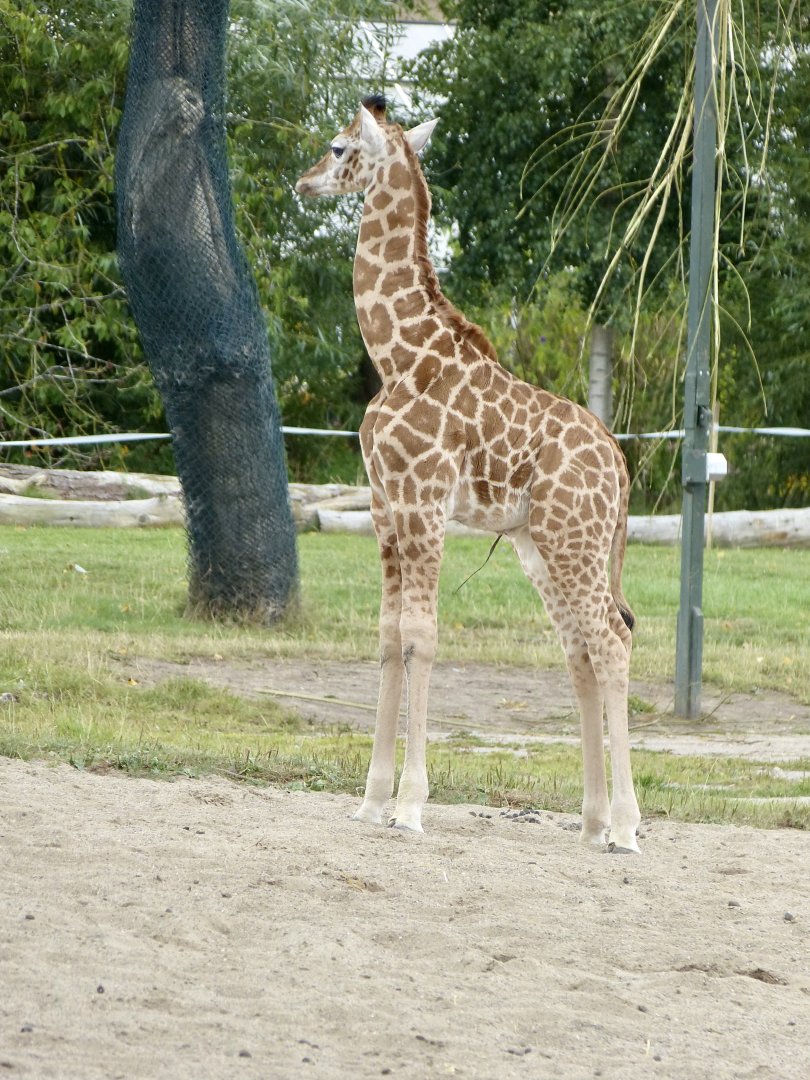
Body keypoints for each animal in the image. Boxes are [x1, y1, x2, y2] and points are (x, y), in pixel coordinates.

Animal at [296, 95, 641, 853]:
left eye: (338, 148)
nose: (302, 184)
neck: (397, 354)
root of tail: (619, 461)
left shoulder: (423, 503)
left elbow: (421, 637)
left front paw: (410, 806)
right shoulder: (385, 506)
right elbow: (388, 635)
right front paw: (370, 800)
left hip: (574, 542)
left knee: (612, 639)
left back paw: (629, 826)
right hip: (542, 546)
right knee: (580, 651)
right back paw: (592, 821)